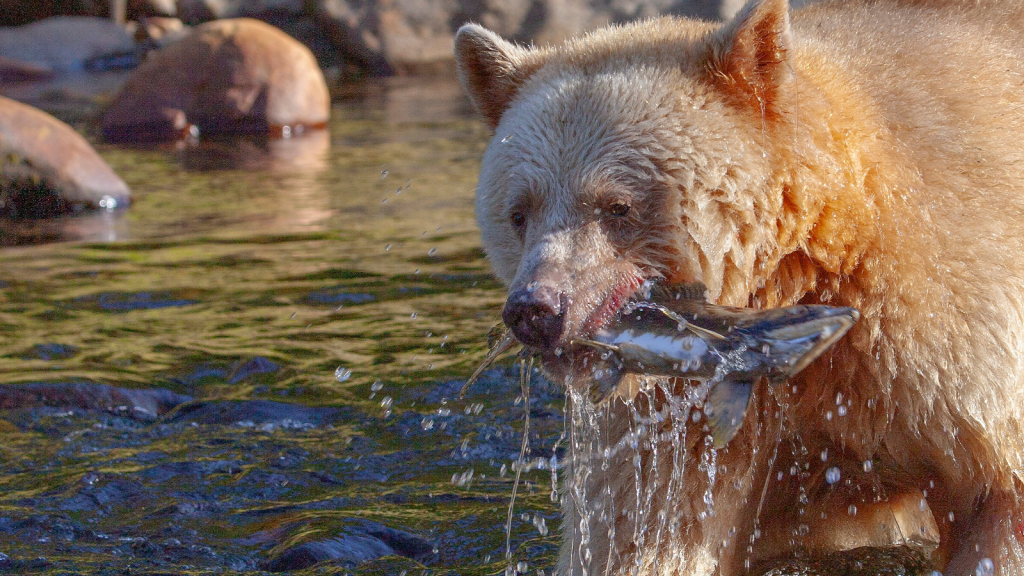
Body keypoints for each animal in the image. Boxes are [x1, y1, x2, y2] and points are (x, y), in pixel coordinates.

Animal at [456, 0, 1024, 569]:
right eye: (519, 213)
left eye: (617, 206)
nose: (536, 308)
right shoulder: (673, 417)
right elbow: (646, 535)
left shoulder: (949, 334)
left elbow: (1000, 503)